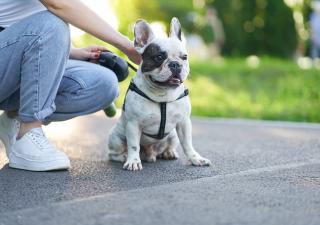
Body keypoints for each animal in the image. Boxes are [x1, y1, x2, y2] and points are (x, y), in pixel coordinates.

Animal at [109, 17, 211, 171]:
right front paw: (133, 161)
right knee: (115, 153)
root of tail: (149, 153)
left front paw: (195, 159)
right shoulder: (133, 125)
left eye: (184, 57)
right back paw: (123, 157)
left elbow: (188, 144)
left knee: (168, 146)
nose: (175, 64)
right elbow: (133, 146)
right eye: (158, 57)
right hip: (116, 138)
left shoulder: (184, 123)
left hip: (173, 136)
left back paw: (168, 153)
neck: (163, 94)